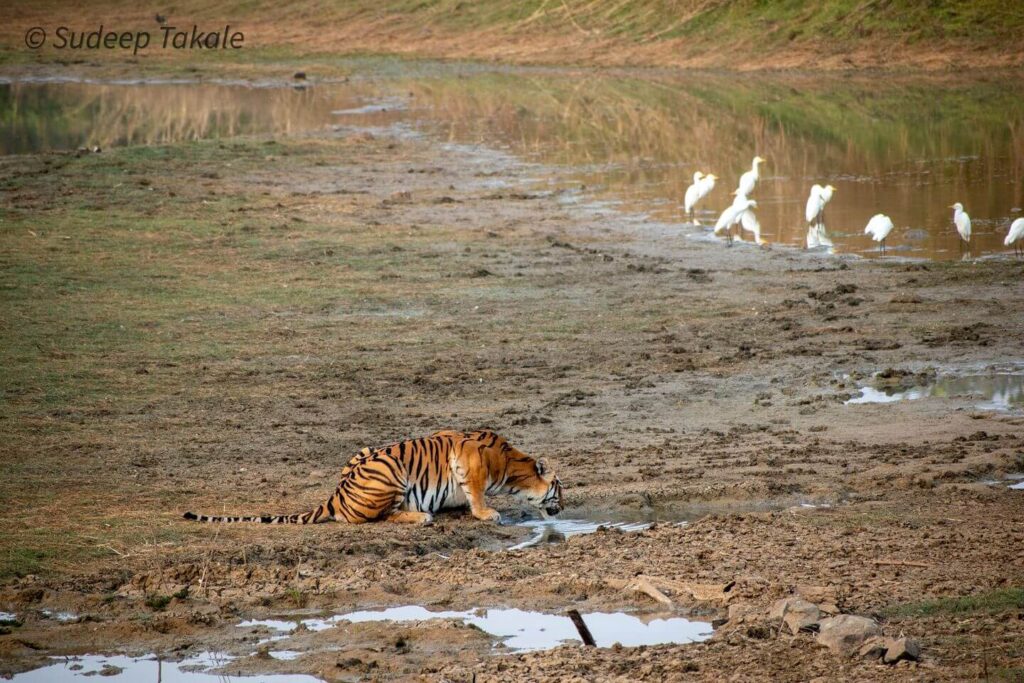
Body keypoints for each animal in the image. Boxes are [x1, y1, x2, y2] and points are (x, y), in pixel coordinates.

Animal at [181, 430, 565, 528]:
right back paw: (422, 516)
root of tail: (335, 495)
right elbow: (478, 495)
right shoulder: (470, 462)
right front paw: (489, 514)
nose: (565, 507)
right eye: (560, 489)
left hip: (363, 451)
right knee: (380, 517)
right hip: (391, 472)